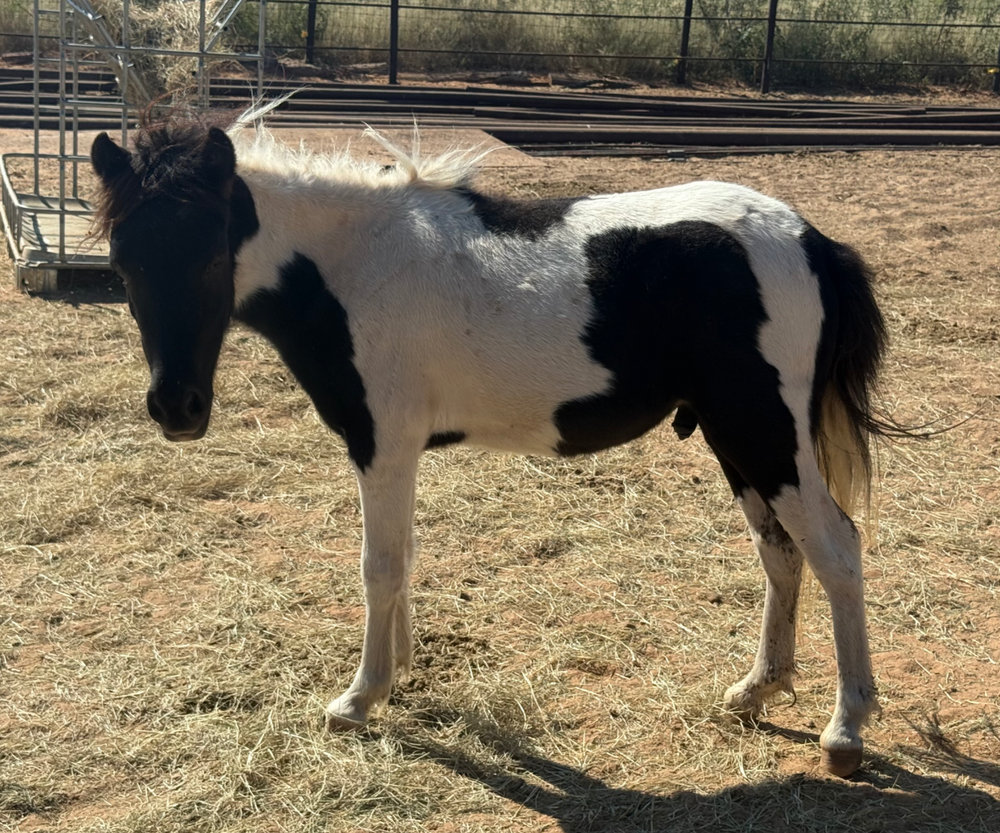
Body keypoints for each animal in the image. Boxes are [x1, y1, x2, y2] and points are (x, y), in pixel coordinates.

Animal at [90, 106, 892, 778]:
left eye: (210, 257)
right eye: (121, 265)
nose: (177, 409)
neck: (352, 263)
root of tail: (813, 242)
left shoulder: (382, 444)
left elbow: (378, 567)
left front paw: (359, 697)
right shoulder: (396, 452)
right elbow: (402, 559)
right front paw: (399, 671)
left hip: (767, 433)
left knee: (836, 548)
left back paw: (846, 728)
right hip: (737, 438)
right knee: (780, 552)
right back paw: (756, 690)